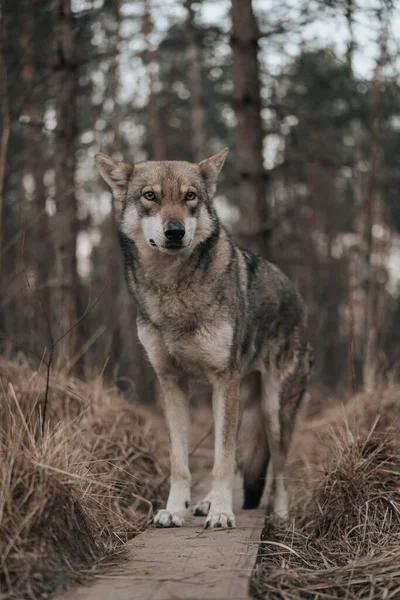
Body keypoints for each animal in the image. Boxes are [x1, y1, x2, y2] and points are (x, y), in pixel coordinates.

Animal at [94, 150, 312, 528]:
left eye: (190, 196)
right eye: (150, 196)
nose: (175, 231)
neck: (173, 288)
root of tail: (297, 297)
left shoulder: (224, 379)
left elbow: (221, 461)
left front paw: (223, 513)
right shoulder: (171, 382)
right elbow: (181, 462)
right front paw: (174, 510)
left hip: (271, 408)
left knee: (279, 467)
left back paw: (280, 515)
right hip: (235, 400)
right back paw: (206, 502)